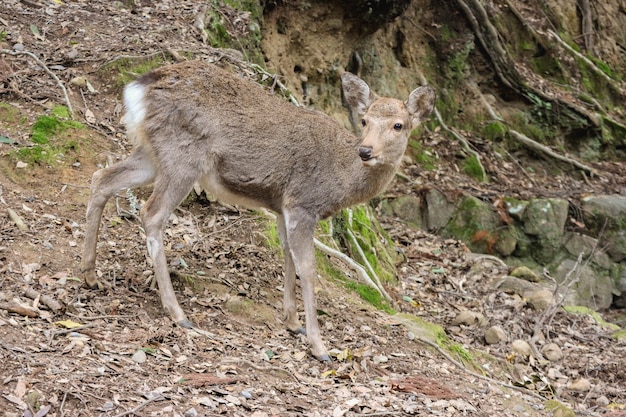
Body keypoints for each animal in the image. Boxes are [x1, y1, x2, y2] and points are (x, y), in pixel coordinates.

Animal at [80, 59, 434, 360]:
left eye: (399, 125)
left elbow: (287, 255)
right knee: (151, 213)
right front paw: (319, 346)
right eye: (364, 120)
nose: (366, 151)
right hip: (182, 155)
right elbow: (308, 268)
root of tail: (138, 88)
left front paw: (292, 322)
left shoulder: (280, 207)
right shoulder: (303, 202)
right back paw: (178, 313)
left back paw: (90, 275)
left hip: (151, 152)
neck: (340, 180)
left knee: (102, 178)